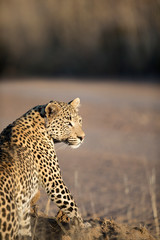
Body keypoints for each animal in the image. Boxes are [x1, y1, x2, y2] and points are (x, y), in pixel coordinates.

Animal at [0, 98, 85, 240]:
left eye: (79, 121)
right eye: (68, 123)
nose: (82, 137)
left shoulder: (24, 207)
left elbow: (25, 227)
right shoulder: (54, 182)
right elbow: (72, 206)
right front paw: (82, 228)